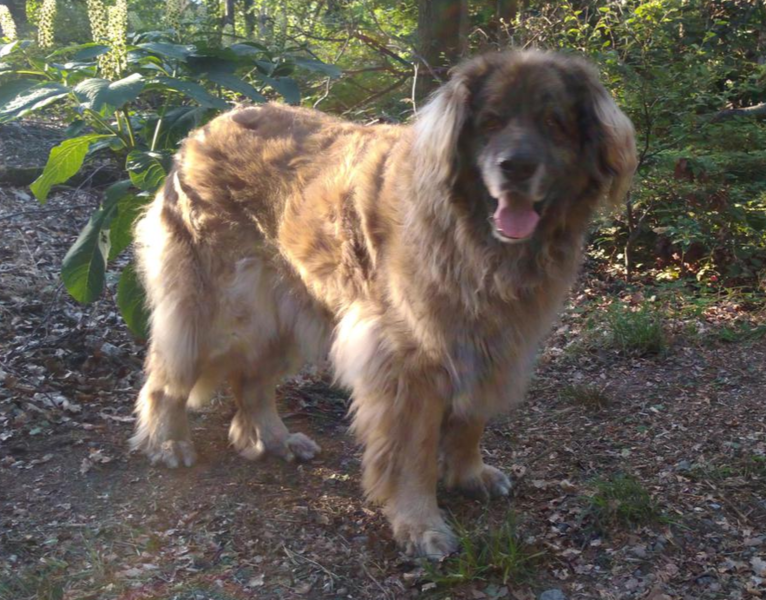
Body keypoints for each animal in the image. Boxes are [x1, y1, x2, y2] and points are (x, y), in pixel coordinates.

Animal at [131, 50, 636, 558]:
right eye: (490, 122)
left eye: (554, 123)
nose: (516, 166)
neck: (471, 234)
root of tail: (200, 132)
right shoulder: (408, 359)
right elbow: (414, 451)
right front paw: (420, 522)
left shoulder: (491, 340)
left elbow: (470, 420)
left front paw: (468, 474)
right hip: (218, 307)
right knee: (167, 375)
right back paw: (168, 442)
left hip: (286, 307)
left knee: (251, 380)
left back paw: (275, 439)